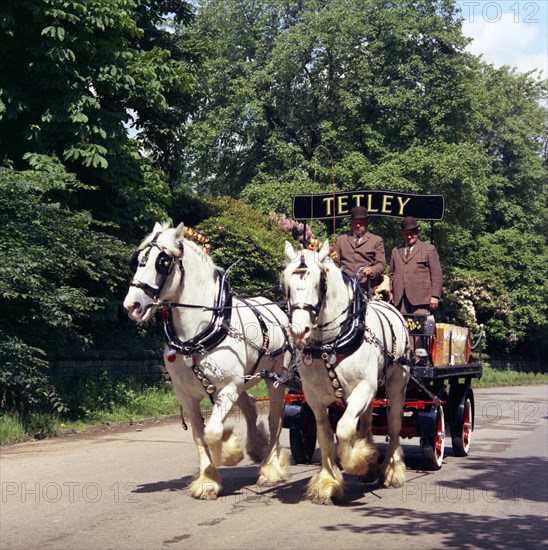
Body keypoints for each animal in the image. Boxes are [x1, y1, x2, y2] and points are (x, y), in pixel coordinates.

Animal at [122, 223, 294, 500]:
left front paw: (229, 453)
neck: (197, 333)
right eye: (136, 260)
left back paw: (269, 468)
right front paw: (207, 480)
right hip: (243, 380)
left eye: (163, 261)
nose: (132, 305)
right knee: (250, 407)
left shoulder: (228, 388)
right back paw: (258, 449)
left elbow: (213, 432)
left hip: (275, 380)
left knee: (275, 419)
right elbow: (199, 435)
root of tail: (275, 307)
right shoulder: (186, 395)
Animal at [282, 239, 412, 506]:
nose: (299, 331)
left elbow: (342, 429)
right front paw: (328, 482)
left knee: (394, 425)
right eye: (287, 283)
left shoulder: (364, 387)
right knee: (367, 418)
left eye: (319, 282)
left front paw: (358, 461)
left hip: (396, 382)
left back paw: (391, 470)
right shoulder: (314, 397)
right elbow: (324, 434)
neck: (330, 344)